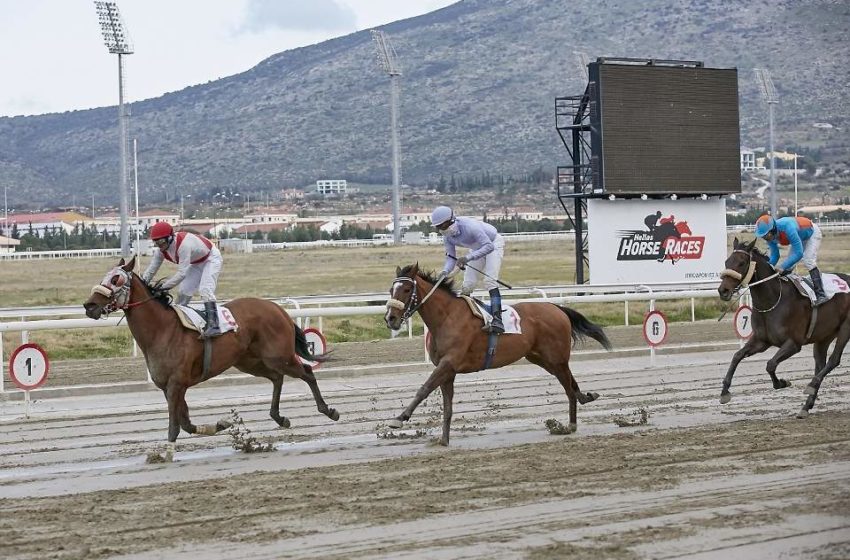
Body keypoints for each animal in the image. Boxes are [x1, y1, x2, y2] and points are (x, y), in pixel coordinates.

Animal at [83, 255, 338, 442]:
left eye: (116, 279)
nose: (89, 305)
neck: (162, 330)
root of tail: (277, 308)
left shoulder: (176, 384)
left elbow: (174, 428)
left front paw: (164, 454)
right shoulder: (170, 387)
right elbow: (186, 423)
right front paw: (221, 424)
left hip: (278, 355)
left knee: (307, 372)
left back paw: (328, 410)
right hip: (250, 361)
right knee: (277, 378)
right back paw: (279, 417)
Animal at [384, 264, 608, 446]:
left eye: (406, 289)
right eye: (391, 290)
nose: (390, 318)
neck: (446, 317)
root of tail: (556, 307)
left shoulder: (448, 362)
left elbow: (424, 388)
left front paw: (399, 419)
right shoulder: (448, 370)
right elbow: (447, 406)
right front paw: (444, 440)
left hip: (557, 357)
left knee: (568, 387)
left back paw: (570, 425)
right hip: (541, 358)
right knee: (570, 382)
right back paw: (585, 399)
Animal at [716, 238, 848, 418]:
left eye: (741, 263)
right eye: (726, 261)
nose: (723, 290)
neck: (772, 301)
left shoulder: (794, 343)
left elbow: (770, 364)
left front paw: (782, 382)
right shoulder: (761, 341)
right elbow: (737, 356)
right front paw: (724, 392)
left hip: (845, 329)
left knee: (834, 360)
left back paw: (810, 385)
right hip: (824, 336)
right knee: (820, 364)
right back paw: (806, 406)